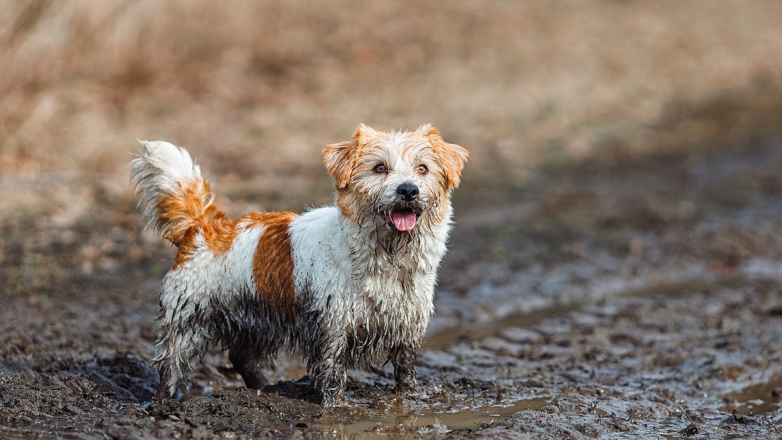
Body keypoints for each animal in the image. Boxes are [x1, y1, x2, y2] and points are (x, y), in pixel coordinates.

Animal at [132, 124, 468, 406]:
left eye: (423, 168)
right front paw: (336, 407)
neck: (386, 258)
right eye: (380, 168)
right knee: (171, 364)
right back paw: (163, 402)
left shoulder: (409, 322)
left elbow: (405, 365)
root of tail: (205, 227)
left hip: (259, 318)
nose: (409, 190)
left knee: (242, 357)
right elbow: (332, 373)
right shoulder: (332, 326)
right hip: (188, 317)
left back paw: (265, 388)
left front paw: (410, 396)